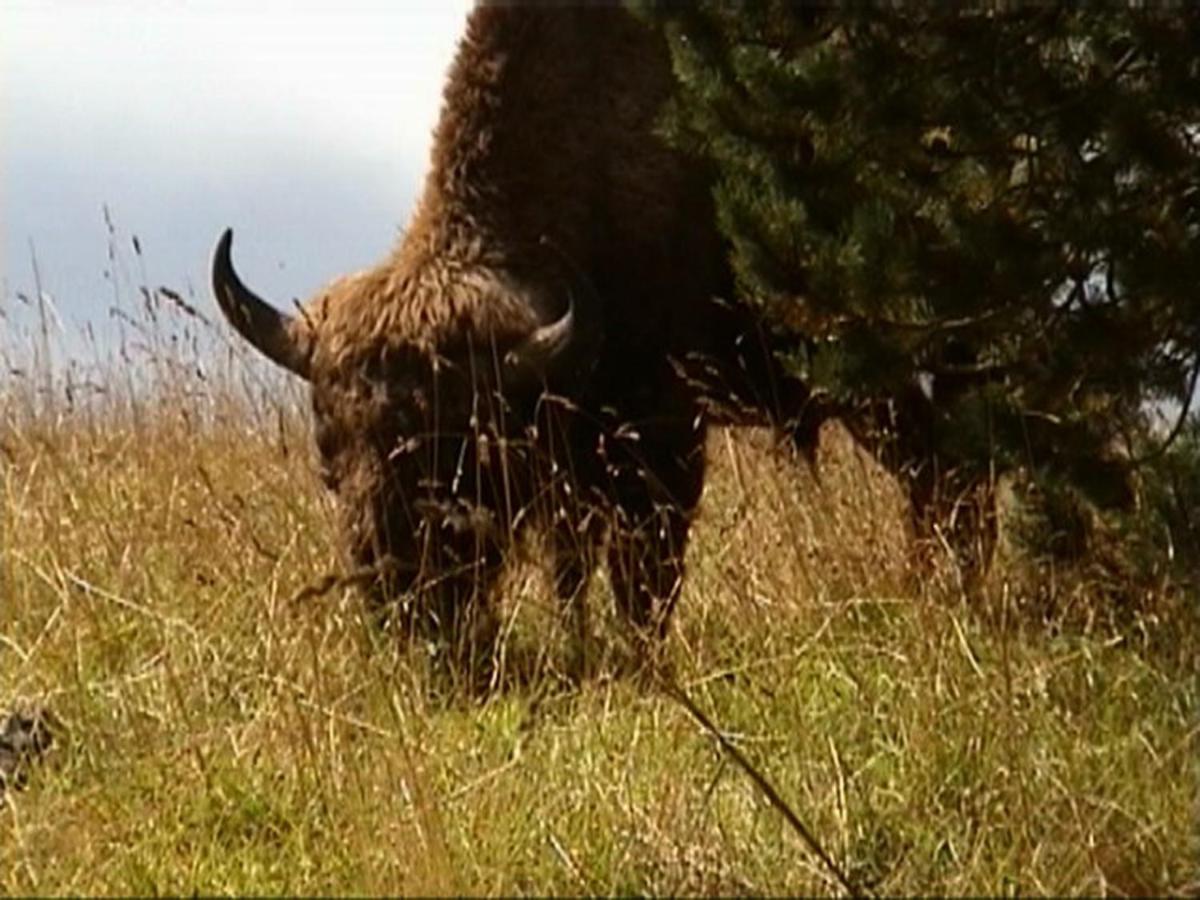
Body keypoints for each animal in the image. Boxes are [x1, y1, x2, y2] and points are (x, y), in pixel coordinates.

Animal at [211, 3, 820, 667]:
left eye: (459, 451)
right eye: (328, 450)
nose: (400, 600)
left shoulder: (666, 440)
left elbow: (643, 581)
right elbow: (571, 574)